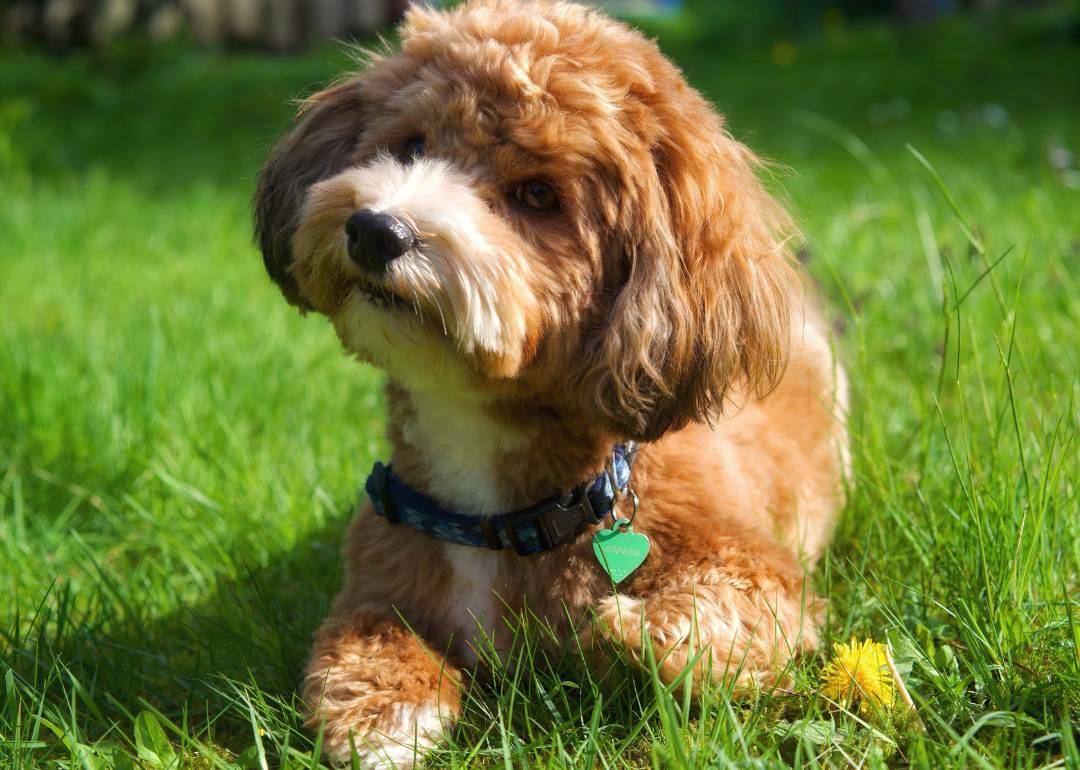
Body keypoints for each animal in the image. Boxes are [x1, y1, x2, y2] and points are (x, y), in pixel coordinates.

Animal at [254, 0, 851, 764]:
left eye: (537, 194)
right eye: (410, 147)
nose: (376, 229)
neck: (497, 516)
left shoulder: (761, 572)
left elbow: (719, 622)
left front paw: (630, 624)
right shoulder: (378, 576)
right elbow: (361, 640)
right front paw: (385, 714)